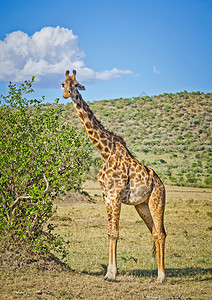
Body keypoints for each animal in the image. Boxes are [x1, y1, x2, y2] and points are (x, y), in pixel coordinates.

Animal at [60, 70, 166, 284]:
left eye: (76, 84)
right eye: (63, 83)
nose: (67, 94)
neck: (104, 151)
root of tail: (162, 185)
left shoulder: (116, 195)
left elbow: (115, 233)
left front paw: (112, 274)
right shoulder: (106, 196)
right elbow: (110, 232)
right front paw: (109, 272)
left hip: (156, 201)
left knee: (160, 233)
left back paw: (161, 277)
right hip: (142, 206)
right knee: (155, 232)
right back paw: (158, 274)